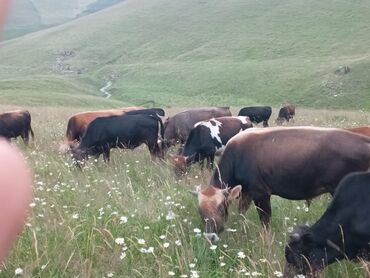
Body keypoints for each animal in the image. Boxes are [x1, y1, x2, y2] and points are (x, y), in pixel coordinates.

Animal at [192, 127, 370, 242]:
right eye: (200, 211)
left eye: (221, 208)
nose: (210, 236)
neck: (237, 155)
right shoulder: (246, 192)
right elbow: (241, 212)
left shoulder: (260, 193)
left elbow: (265, 222)